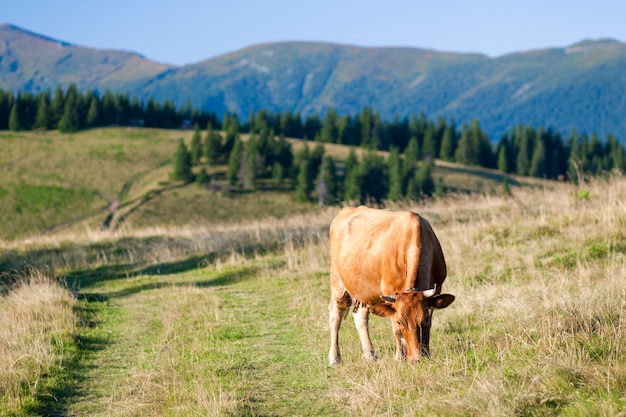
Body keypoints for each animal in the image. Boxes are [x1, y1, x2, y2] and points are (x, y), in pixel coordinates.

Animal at [326, 206, 454, 362]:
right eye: (400, 321)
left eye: (424, 319)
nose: (415, 358)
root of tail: (347, 209)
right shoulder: (389, 294)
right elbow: (396, 330)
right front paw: (400, 357)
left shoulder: (437, 289)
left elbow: (428, 325)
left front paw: (426, 353)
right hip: (337, 281)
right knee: (335, 315)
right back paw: (335, 358)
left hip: (364, 290)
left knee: (360, 317)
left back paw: (370, 354)